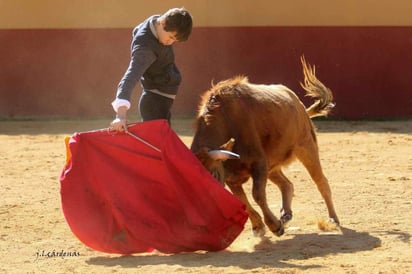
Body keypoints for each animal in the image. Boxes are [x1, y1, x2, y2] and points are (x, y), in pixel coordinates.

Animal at [190, 56, 338, 237]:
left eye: (214, 174)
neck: (226, 120)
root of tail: (299, 104)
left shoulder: (258, 163)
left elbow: (257, 195)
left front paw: (274, 226)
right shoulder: (233, 178)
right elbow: (244, 201)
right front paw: (259, 226)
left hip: (306, 146)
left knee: (321, 181)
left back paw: (333, 219)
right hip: (273, 164)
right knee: (286, 184)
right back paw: (286, 215)